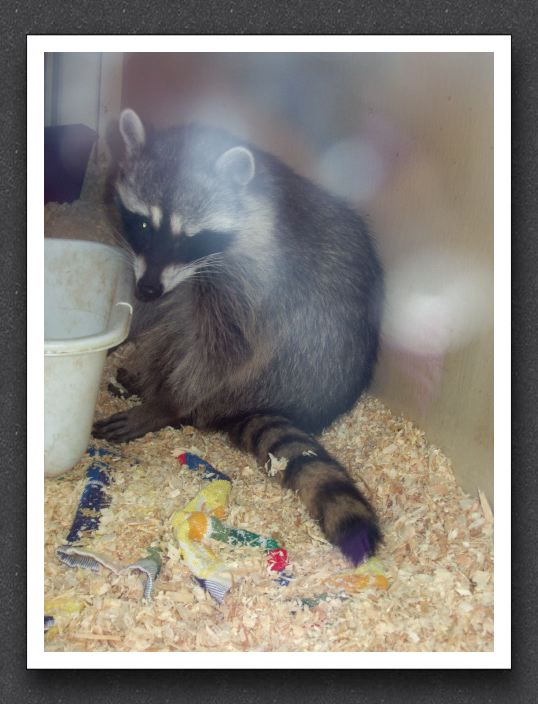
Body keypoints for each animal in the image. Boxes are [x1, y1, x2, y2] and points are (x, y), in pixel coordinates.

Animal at [93, 109, 384, 565]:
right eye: (142, 223)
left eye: (187, 238)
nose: (149, 288)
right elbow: (154, 308)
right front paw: (128, 331)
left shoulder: (254, 282)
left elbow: (227, 351)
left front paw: (167, 402)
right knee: (178, 318)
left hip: (272, 368)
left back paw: (168, 396)